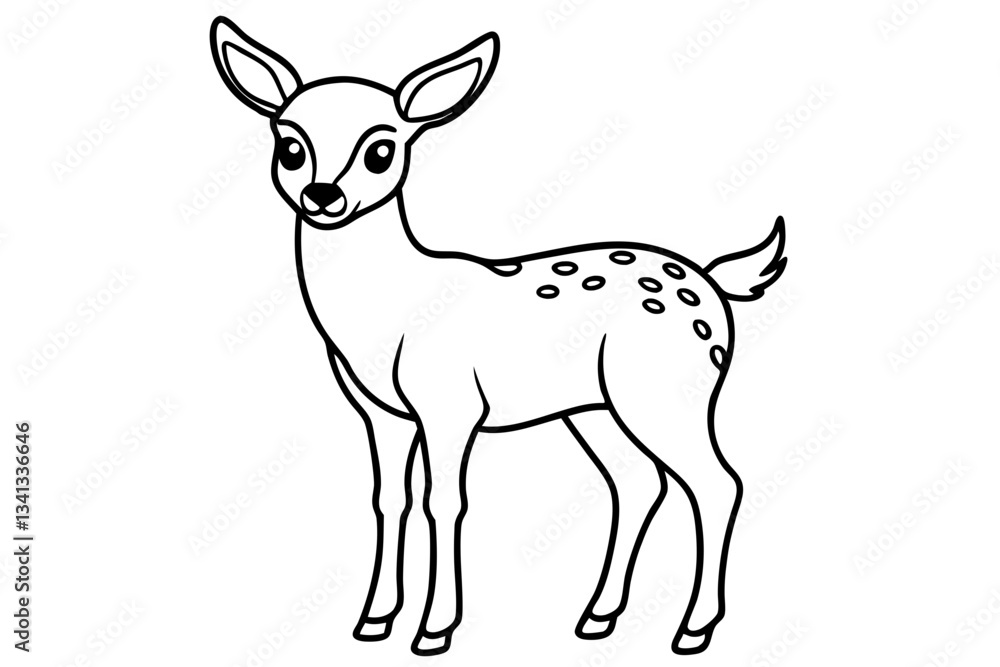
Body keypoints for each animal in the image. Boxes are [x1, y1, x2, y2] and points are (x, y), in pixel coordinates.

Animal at [210, 17, 787, 657]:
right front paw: (374, 621)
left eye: (382, 149)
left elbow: (444, 502)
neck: (388, 313)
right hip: (594, 407)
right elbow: (389, 500)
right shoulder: (380, 413)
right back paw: (597, 617)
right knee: (637, 484)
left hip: (666, 389)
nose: (323, 195)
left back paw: (692, 629)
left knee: (718, 482)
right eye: (290, 145)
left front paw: (434, 630)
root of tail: (715, 281)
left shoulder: (451, 403)